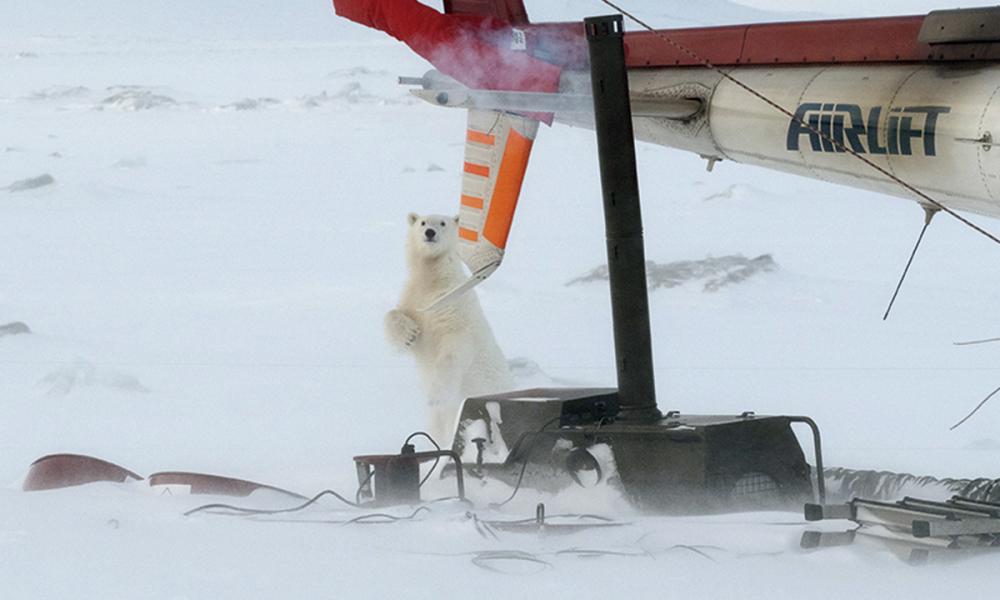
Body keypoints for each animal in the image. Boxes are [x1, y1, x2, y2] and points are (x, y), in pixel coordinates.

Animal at [384, 213, 516, 442]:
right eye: (422, 222)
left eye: (442, 223)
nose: (430, 233)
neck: (433, 281)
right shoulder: (415, 299)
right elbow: (397, 318)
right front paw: (409, 335)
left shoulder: (453, 307)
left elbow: (453, 349)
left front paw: (436, 394)